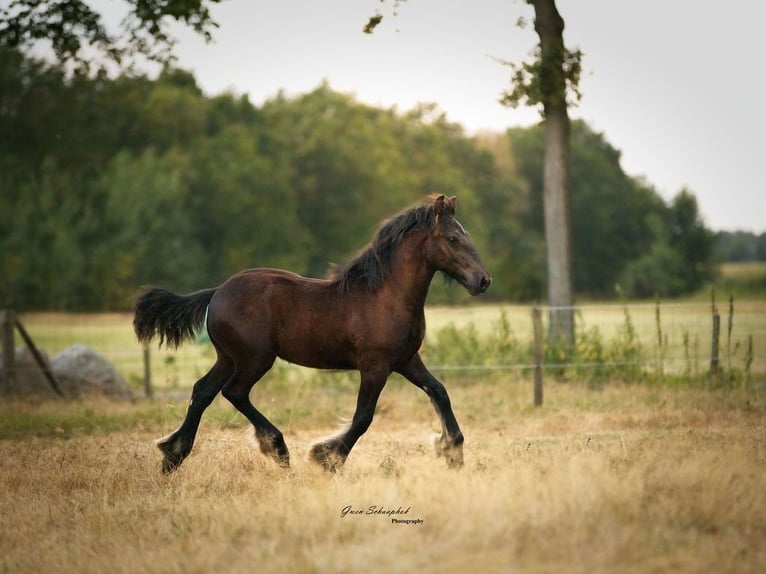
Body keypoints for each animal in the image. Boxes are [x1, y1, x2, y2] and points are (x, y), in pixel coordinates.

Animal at [133, 194, 491, 473]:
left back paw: (172, 455)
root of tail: (216, 292)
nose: (483, 280)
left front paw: (452, 451)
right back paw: (278, 449)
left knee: (203, 390)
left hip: (229, 357)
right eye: (452, 239)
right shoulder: (375, 366)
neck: (387, 295)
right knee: (233, 392)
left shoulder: (406, 360)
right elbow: (363, 417)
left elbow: (439, 391)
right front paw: (326, 458)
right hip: (254, 359)